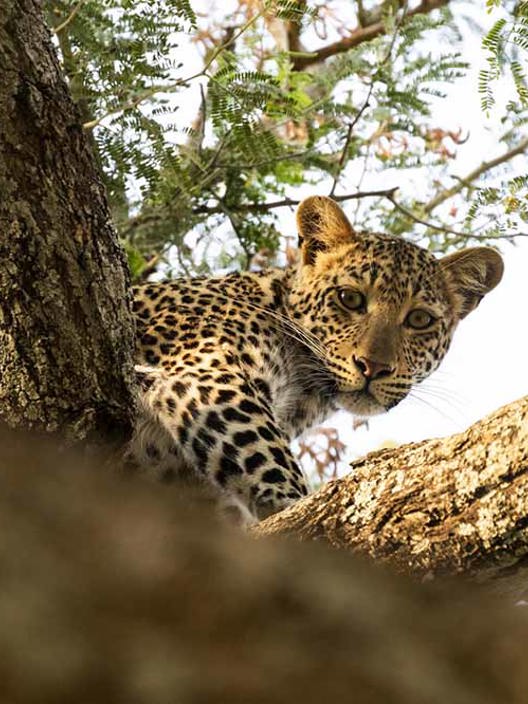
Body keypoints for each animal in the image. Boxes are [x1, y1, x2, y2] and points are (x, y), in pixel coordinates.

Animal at [128, 195, 503, 523]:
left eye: (420, 319)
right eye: (349, 298)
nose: (373, 367)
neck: (305, 393)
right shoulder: (206, 364)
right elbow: (265, 451)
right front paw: (291, 503)